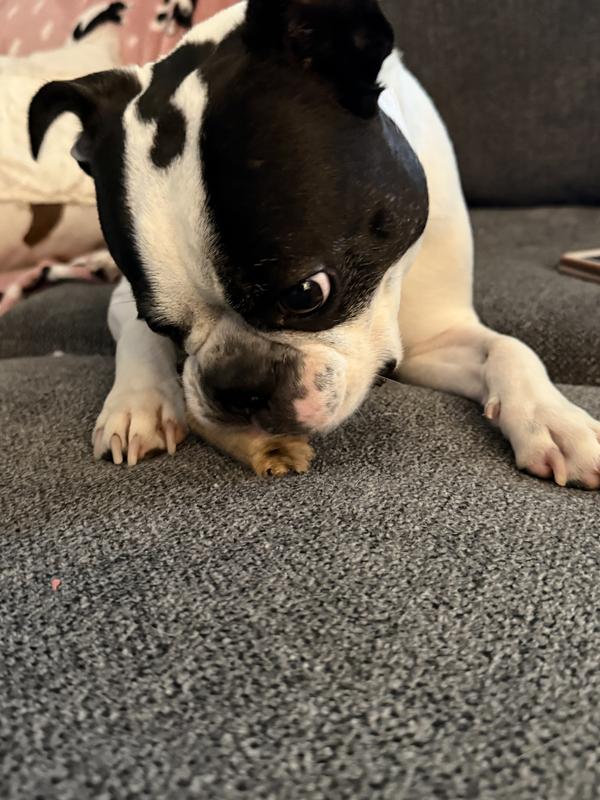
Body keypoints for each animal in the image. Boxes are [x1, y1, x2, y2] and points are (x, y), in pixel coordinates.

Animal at [29, 0, 600, 486]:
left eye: (307, 294)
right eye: (164, 326)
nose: (237, 386)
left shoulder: (437, 337)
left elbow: (511, 348)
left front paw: (555, 419)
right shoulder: (128, 300)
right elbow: (134, 338)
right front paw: (140, 401)